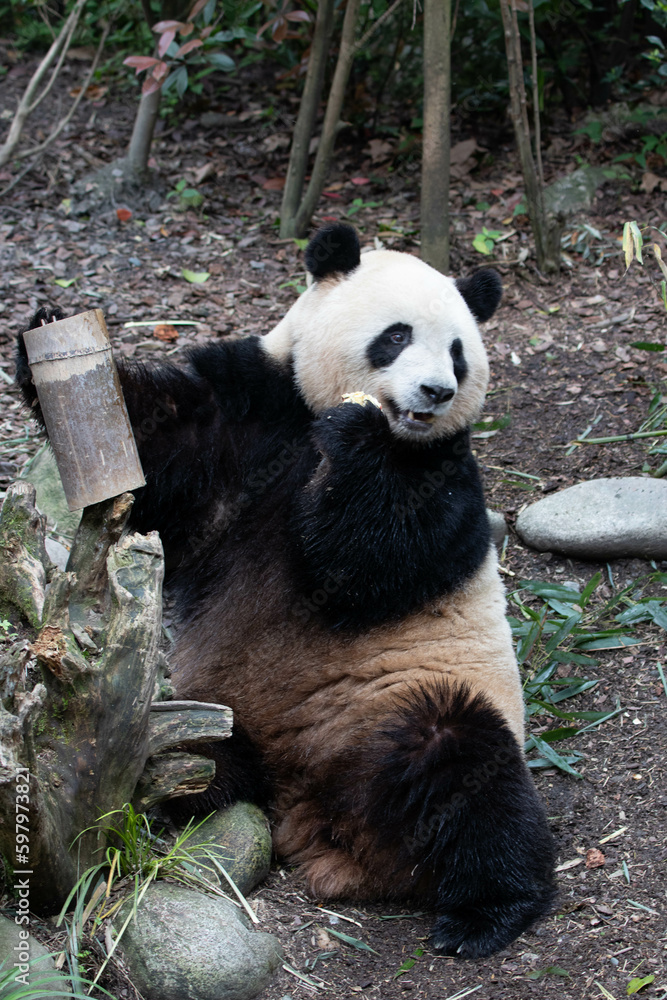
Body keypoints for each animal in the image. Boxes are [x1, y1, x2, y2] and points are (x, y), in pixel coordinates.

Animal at [17, 222, 555, 959]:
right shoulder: (251, 405)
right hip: (217, 706)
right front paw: (41, 329)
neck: (314, 416)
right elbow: (162, 457)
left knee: (464, 769)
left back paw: (487, 911)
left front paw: (357, 440)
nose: (436, 392)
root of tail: (307, 803)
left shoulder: (444, 467)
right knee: (193, 753)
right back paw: (185, 792)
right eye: (395, 336)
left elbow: (376, 559)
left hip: (403, 699)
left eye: (457, 352)